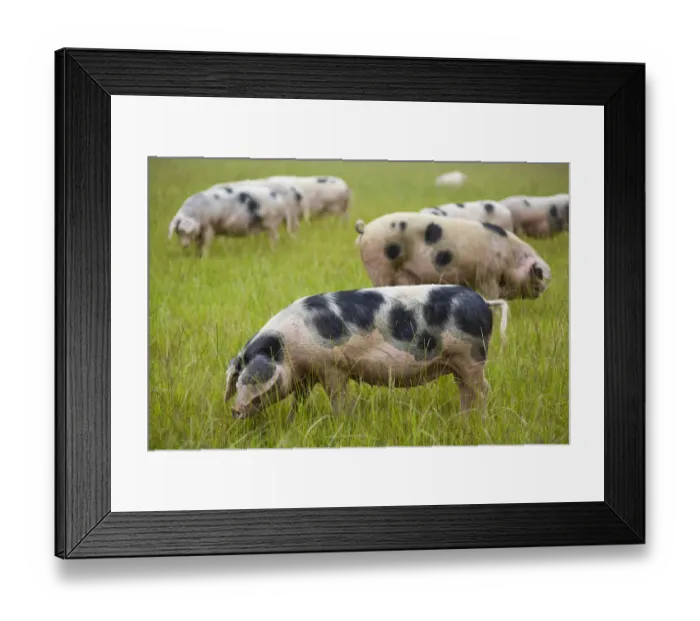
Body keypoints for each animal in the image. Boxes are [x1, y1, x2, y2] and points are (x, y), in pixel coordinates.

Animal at [224, 284, 509, 421]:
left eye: (250, 384)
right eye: (236, 383)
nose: (234, 411)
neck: (286, 348)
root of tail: (483, 301)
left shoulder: (331, 367)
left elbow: (337, 398)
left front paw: (342, 421)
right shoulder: (305, 375)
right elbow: (299, 401)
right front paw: (292, 422)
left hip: (471, 357)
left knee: (482, 389)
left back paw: (480, 422)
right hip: (460, 363)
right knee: (466, 391)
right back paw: (463, 421)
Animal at [354, 212, 552, 300]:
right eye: (539, 274)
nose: (542, 290)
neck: (509, 257)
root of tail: (365, 229)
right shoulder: (487, 274)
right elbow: (491, 295)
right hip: (380, 266)